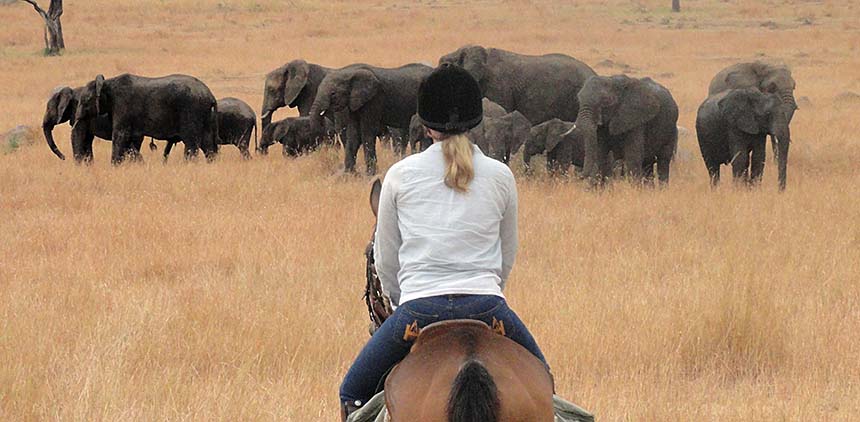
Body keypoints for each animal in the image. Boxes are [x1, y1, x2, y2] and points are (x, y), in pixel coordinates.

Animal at [74, 73, 220, 164]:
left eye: (85, 101)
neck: (107, 83)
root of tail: (210, 95)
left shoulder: (122, 106)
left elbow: (120, 136)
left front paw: (114, 167)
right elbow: (130, 140)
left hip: (191, 110)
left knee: (191, 142)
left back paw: (188, 165)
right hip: (204, 114)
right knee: (206, 143)